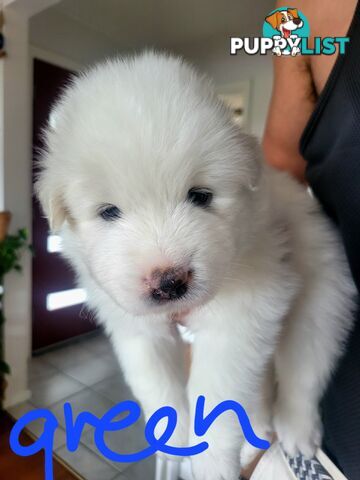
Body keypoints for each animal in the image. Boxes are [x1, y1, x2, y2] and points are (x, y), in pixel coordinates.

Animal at [35, 52, 356, 480]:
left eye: (200, 196)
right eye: (108, 212)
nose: (170, 283)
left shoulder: (242, 316)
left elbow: (217, 398)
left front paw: (210, 464)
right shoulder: (136, 329)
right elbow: (158, 388)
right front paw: (173, 448)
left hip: (323, 298)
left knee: (302, 372)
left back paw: (295, 431)